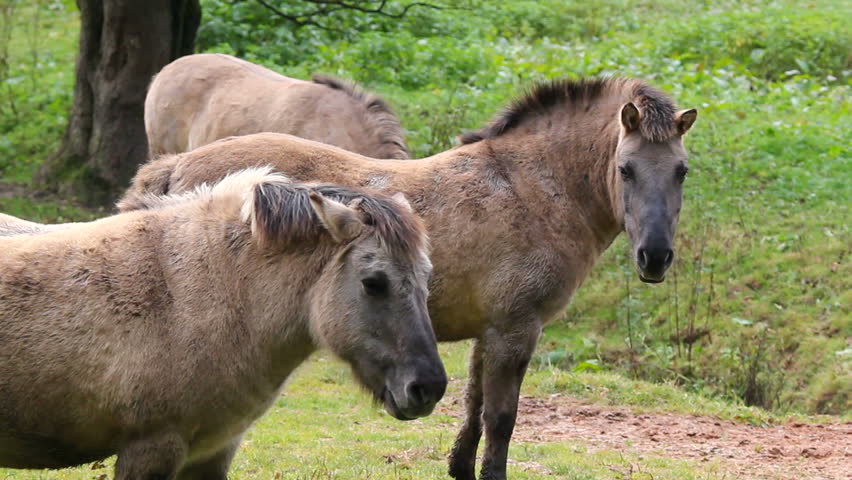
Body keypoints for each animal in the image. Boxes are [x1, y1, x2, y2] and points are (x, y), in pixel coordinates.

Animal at [116, 77, 696, 478]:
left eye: (682, 171)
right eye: (625, 169)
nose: (655, 257)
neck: (529, 189)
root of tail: (176, 165)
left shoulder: (491, 330)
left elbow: (474, 406)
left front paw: (460, 468)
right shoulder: (517, 329)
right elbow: (501, 417)